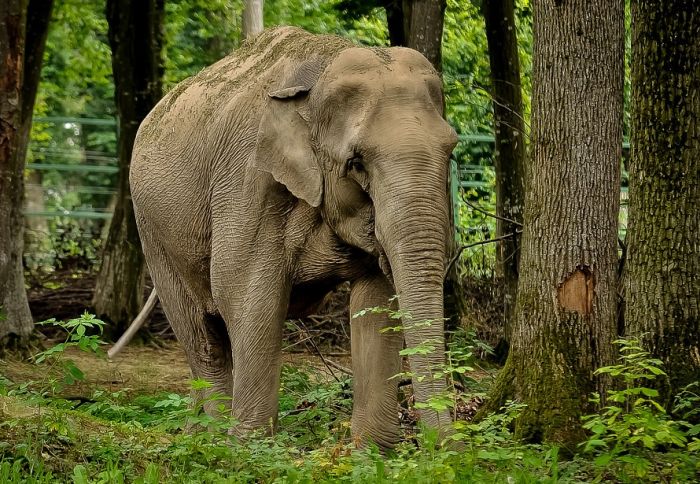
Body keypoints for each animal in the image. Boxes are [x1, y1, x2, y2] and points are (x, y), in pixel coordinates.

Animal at [129, 27, 460, 450]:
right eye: (356, 162)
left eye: (451, 150)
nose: (449, 447)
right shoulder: (247, 178)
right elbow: (246, 294)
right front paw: (249, 448)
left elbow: (376, 300)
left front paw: (371, 452)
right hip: (153, 232)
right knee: (203, 337)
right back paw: (212, 440)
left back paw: (194, 433)